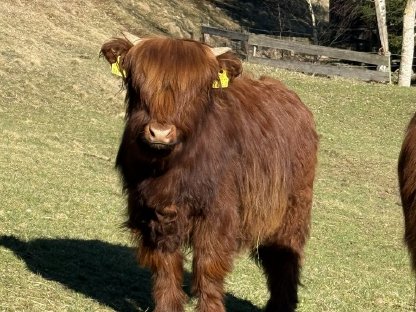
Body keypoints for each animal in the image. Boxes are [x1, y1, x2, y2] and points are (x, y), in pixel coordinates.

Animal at [101, 34, 318, 312]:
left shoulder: (217, 216)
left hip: (291, 211)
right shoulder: (150, 213)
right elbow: (165, 268)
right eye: (137, 82)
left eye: (195, 89)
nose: (160, 133)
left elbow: (208, 268)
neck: (169, 167)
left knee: (283, 260)